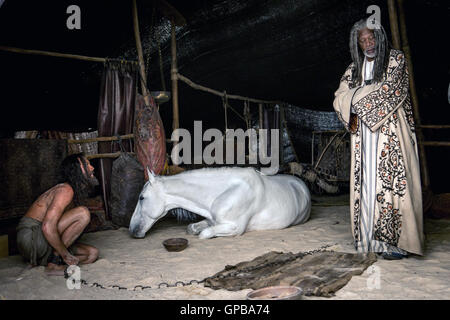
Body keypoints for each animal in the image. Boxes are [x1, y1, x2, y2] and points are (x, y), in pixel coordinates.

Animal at [128, 168, 312, 238]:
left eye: (141, 197)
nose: (131, 230)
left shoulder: (235, 228)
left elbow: (205, 234)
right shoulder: (211, 220)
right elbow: (192, 228)